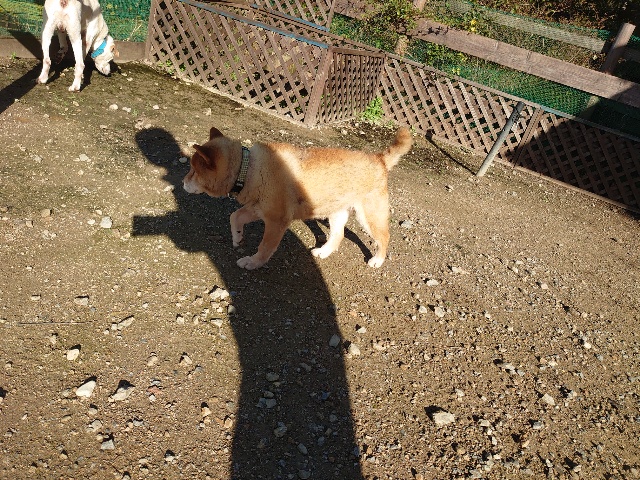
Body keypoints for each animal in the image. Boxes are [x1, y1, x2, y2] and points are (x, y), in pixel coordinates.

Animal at [183, 127, 413, 270]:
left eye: (193, 170)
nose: (183, 182)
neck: (248, 169)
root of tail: (379, 159)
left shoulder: (277, 221)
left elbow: (265, 247)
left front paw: (253, 262)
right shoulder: (258, 209)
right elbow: (234, 217)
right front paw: (237, 237)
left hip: (369, 217)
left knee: (384, 238)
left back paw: (377, 260)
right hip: (336, 212)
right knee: (338, 235)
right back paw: (324, 252)